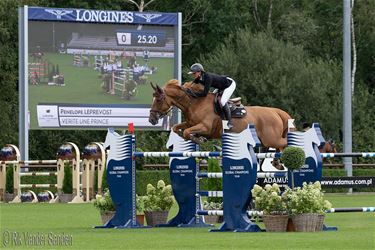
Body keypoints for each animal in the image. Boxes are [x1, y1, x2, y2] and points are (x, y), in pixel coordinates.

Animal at [150, 79, 294, 149]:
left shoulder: (205, 127)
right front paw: (194, 137)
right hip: (266, 142)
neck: (194, 103)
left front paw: (197, 139)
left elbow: (186, 132)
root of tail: (276, 112)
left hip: (271, 139)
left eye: (158, 100)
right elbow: (177, 128)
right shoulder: (190, 123)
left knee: (285, 142)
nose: (151, 119)